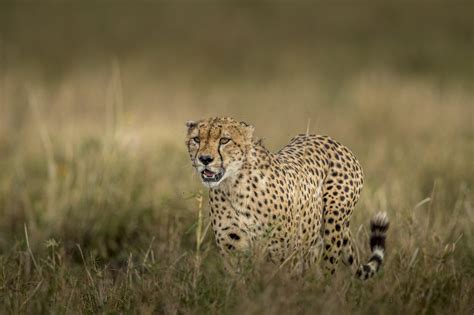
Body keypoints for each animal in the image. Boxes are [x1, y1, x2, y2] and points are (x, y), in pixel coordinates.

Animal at [185, 117, 388, 280]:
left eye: (224, 140)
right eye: (196, 139)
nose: (205, 159)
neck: (234, 186)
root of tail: (332, 140)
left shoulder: (283, 254)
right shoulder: (233, 247)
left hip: (334, 224)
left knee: (329, 267)